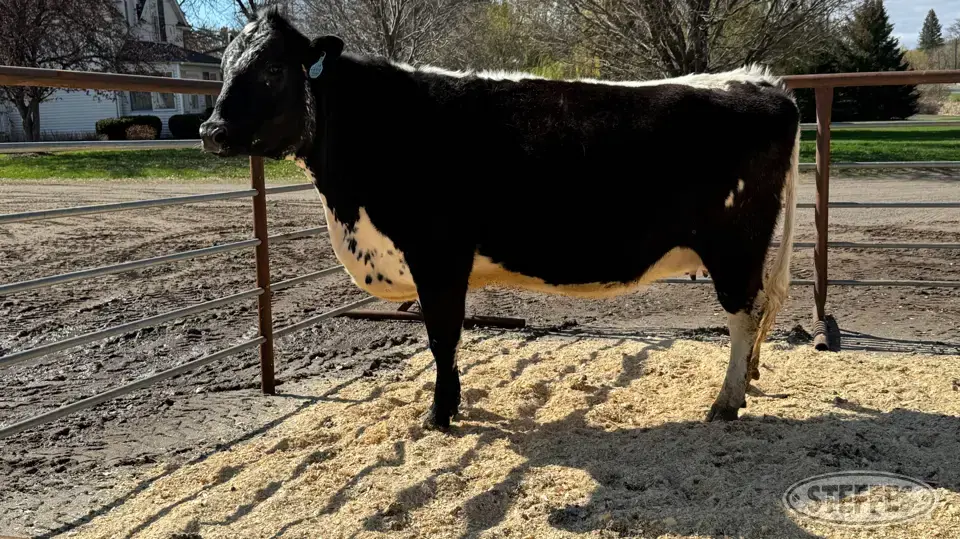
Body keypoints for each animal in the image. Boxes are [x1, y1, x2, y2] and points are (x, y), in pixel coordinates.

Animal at [199, 8, 799, 430]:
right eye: (225, 67)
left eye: (274, 67)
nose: (210, 130)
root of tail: (762, 82)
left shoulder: (437, 254)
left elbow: (442, 336)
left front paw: (440, 413)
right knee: (757, 312)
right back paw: (744, 388)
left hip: (736, 246)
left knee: (743, 315)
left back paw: (725, 401)